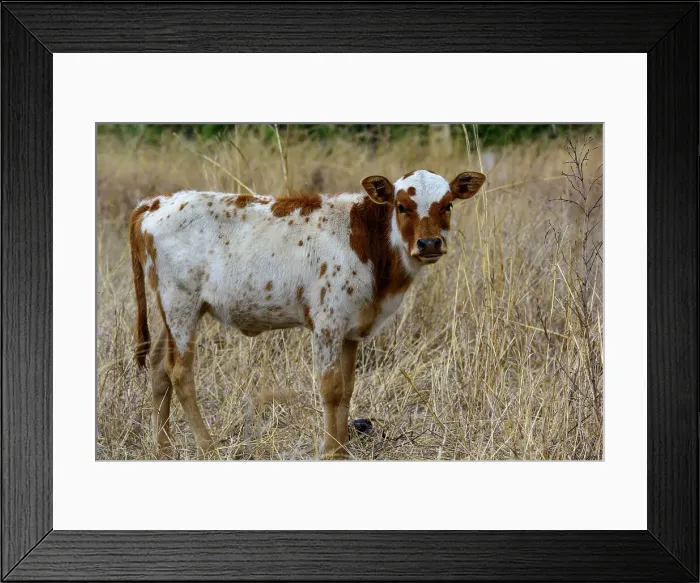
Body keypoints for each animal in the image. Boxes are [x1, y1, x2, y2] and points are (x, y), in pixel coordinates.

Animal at [130, 169, 486, 458]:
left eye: (448, 205)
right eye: (402, 207)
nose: (429, 244)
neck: (368, 241)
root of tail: (153, 203)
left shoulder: (351, 329)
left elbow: (347, 389)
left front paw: (341, 449)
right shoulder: (327, 323)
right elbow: (331, 388)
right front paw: (330, 451)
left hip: (170, 310)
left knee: (159, 368)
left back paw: (164, 447)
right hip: (181, 303)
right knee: (179, 371)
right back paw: (207, 447)